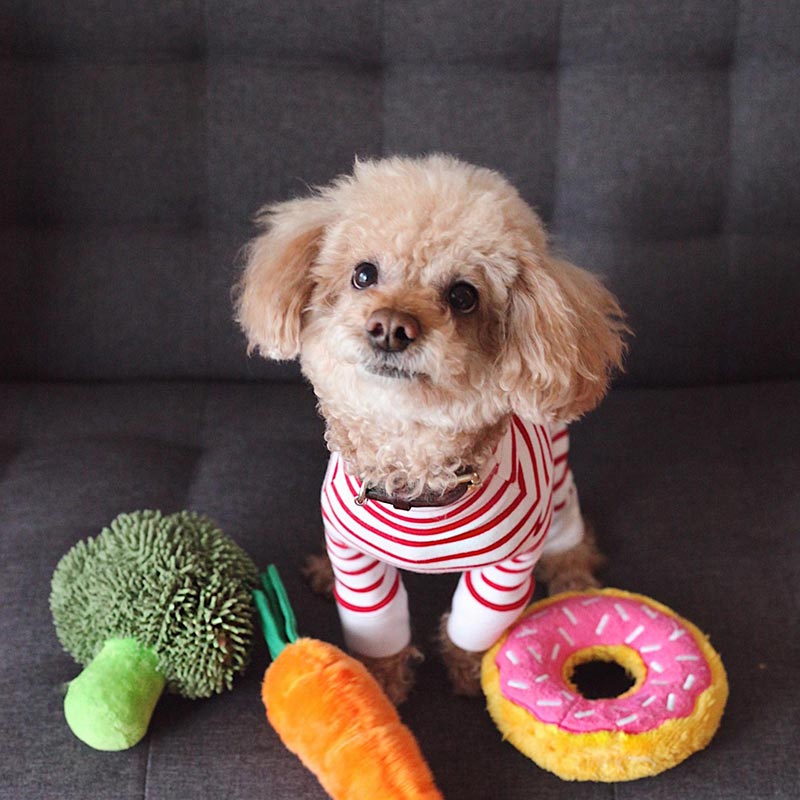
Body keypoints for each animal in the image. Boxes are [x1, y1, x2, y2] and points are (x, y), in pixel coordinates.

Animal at [235, 155, 627, 704]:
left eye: (463, 296)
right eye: (363, 274)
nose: (390, 327)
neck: (413, 469)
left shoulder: (505, 569)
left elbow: (474, 625)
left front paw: (468, 671)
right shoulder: (356, 559)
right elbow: (377, 628)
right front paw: (377, 686)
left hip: (558, 487)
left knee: (572, 537)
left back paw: (573, 577)